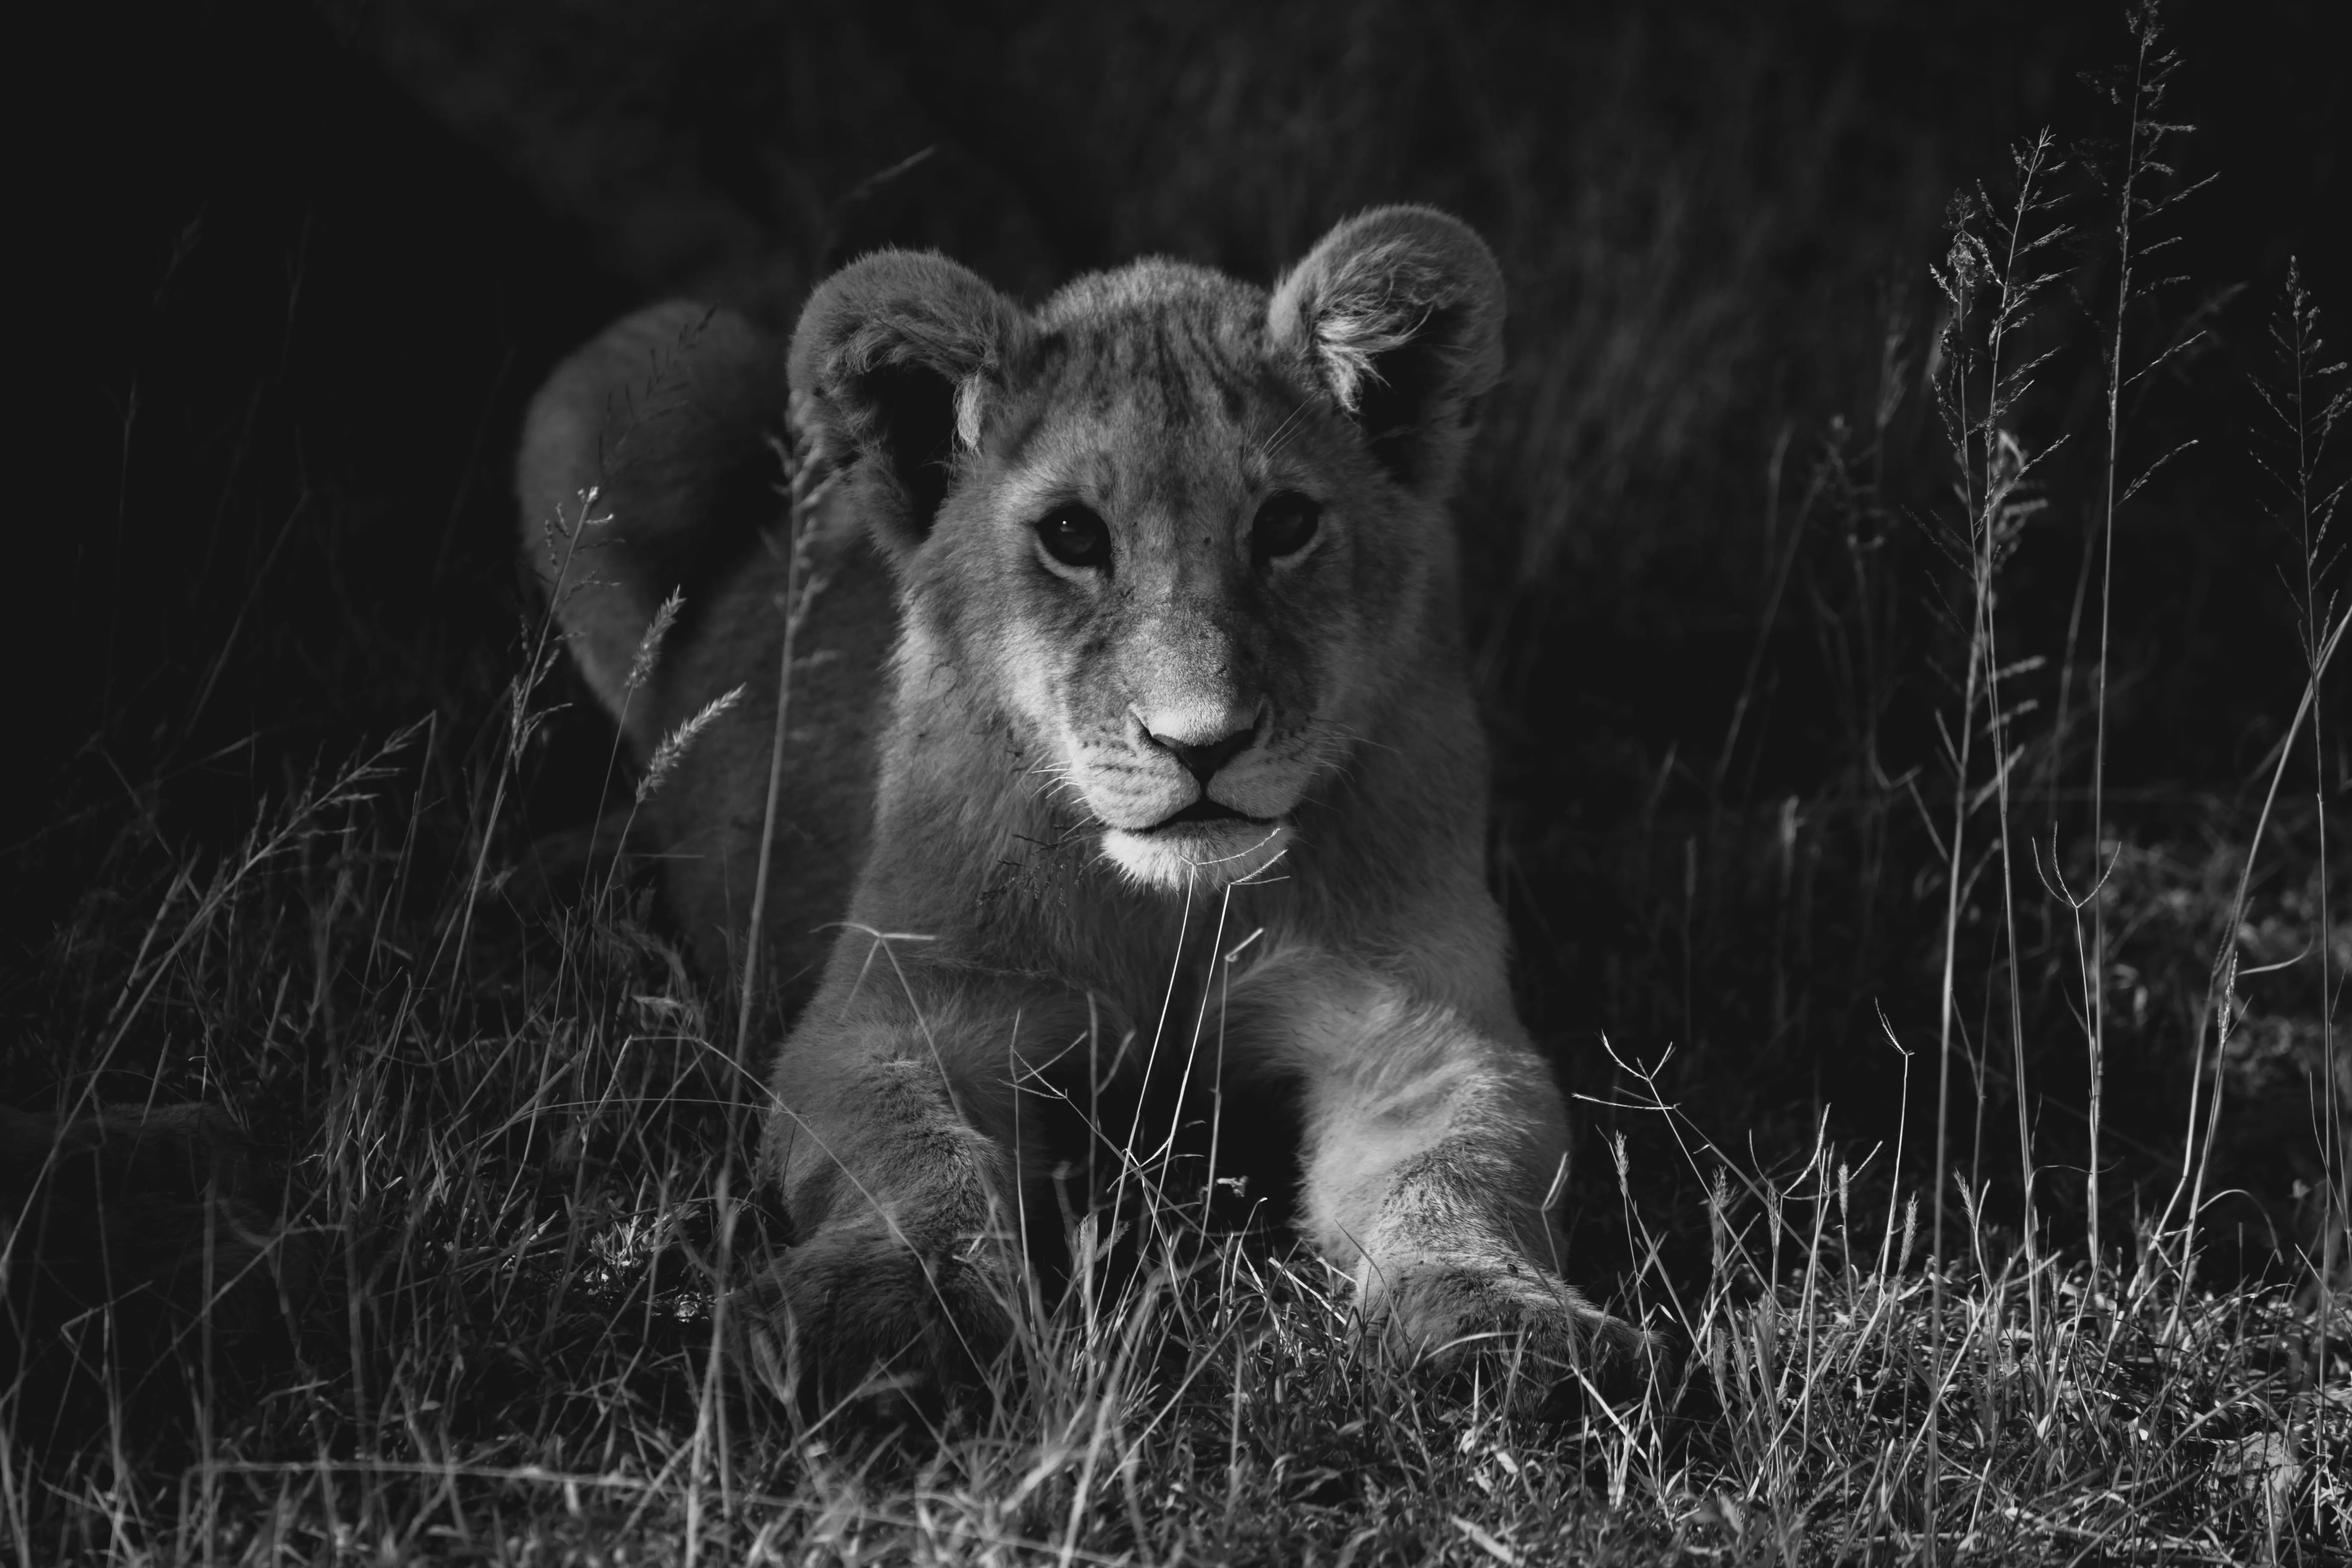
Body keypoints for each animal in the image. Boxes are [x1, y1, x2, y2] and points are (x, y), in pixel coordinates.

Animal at [517, 206, 1648, 1405]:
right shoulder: (894, 1007)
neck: (1169, 917)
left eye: (1285, 524)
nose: (1202, 742)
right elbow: (912, 1156)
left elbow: (1459, 1171)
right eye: (1071, 537)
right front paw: (881, 1311)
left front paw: (1504, 1323)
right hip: (619, 375)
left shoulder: (1419, 1028)